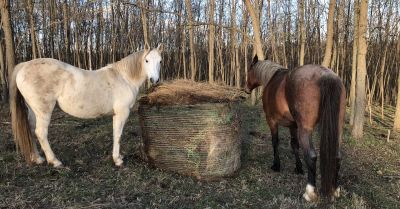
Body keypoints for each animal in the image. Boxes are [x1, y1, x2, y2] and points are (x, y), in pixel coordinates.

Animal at [9, 43, 162, 167]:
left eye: (160, 61)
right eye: (146, 60)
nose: (154, 80)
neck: (124, 78)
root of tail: (24, 66)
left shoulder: (116, 114)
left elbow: (115, 134)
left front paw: (118, 156)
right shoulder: (122, 112)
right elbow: (118, 135)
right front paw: (117, 160)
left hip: (33, 110)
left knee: (30, 129)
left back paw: (37, 158)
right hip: (44, 110)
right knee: (41, 132)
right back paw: (55, 161)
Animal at [245, 54, 346, 202]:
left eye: (249, 70)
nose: (246, 89)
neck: (271, 78)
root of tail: (326, 75)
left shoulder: (272, 121)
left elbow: (275, 142)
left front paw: (276, 165)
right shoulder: (293, 125)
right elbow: (294, 145)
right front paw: (298, 168)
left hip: (305, 130)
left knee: (311, 156)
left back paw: (310, 192)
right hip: (337, 130)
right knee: (337, 156)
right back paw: (335, 190)